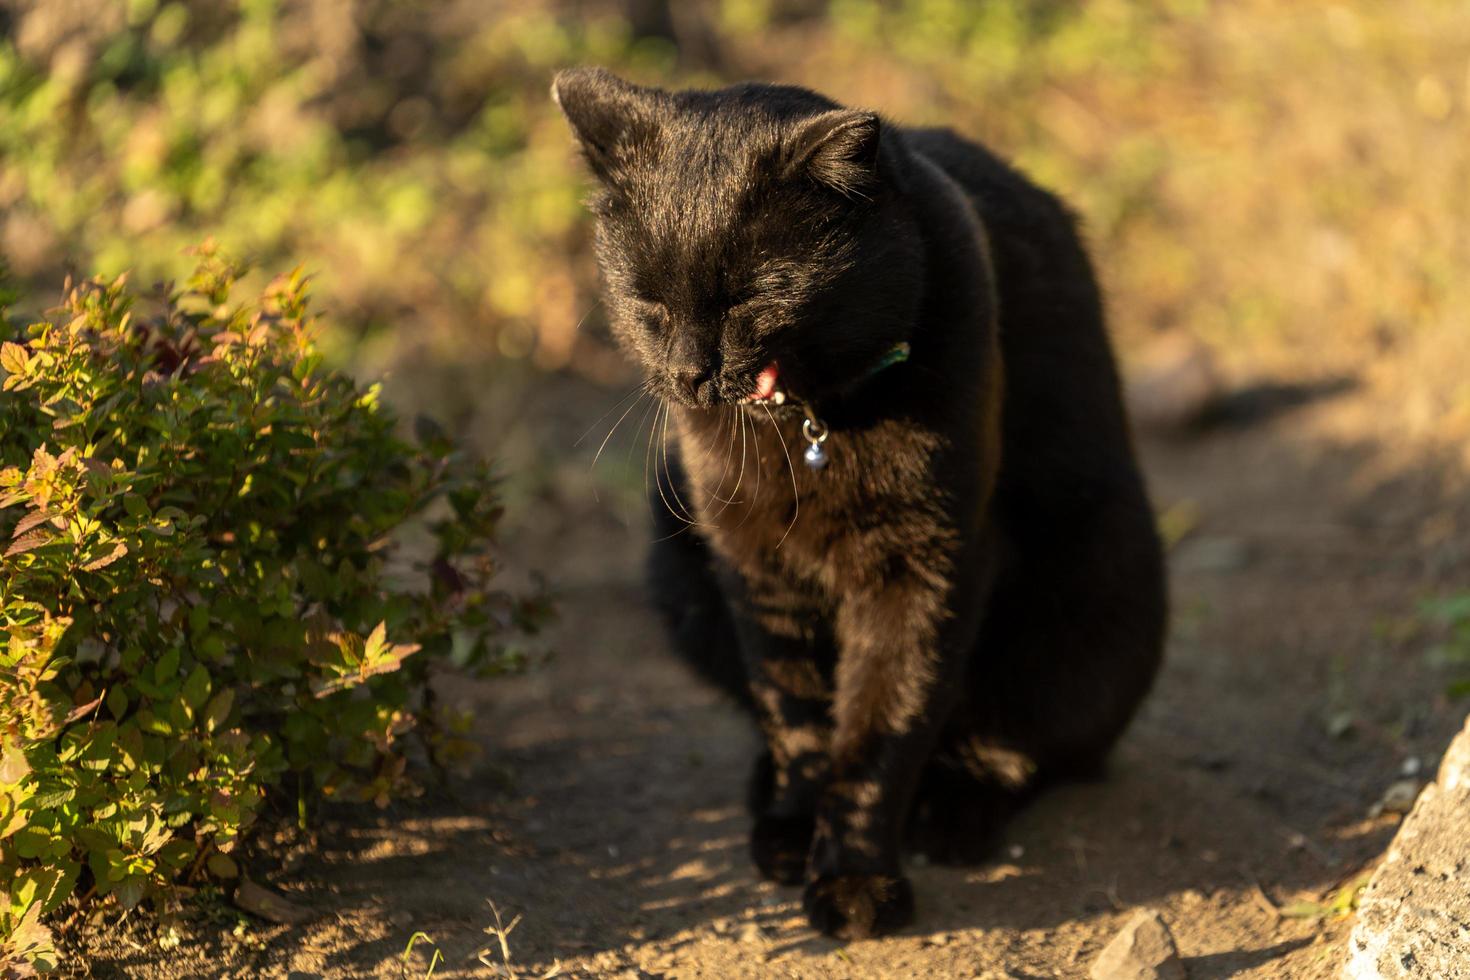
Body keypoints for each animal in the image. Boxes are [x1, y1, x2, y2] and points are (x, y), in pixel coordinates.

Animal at [555, 65, 1164, 940]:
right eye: (651, 305)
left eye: (750, 298)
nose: (689, 375)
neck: (809, 424)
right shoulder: (753, 564)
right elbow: (798, 713)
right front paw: (796, 827)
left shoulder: (924, 562)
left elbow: (883, 725)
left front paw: (853, 881)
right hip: (674, 561)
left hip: (1102, 581)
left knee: (1028, 743)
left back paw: (954, 812)